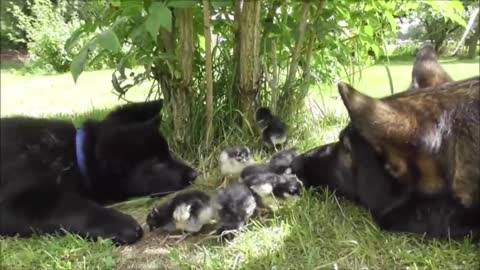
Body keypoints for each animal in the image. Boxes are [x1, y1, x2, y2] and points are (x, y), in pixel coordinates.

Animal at [0, 100, 197, 246]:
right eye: (157, 164)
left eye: (168, 154)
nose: (194, 174)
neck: (74, 155)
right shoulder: (14, 203)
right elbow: (67, 206)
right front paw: (119, 224)